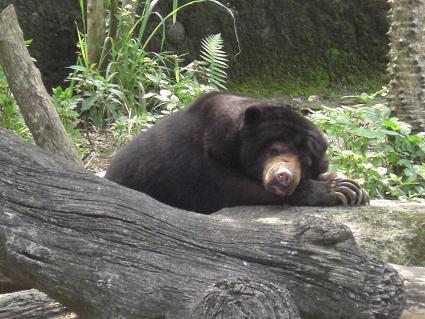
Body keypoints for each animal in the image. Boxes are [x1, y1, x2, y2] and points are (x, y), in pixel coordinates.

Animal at [106, 92, 368, 215]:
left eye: (306, 163)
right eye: (274, 150)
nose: (284, 177)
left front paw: (352, 187)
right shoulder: (194, 163)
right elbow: (228, 189)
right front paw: (336, 190)